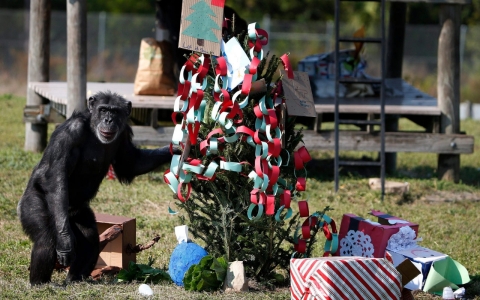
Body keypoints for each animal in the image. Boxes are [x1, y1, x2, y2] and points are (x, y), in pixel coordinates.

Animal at [17, 91, 177, 284]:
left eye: (114, 111)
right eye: (103, 110)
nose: (108, 119)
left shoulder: (124, 133)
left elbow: (131, 164)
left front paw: (178, 148)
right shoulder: (70, 133)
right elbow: (57, 176)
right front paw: (64, 242)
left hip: (77, 213)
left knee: (90, 238)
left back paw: (74, 279)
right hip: (34, 203)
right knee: (45, 238)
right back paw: (40, 284)